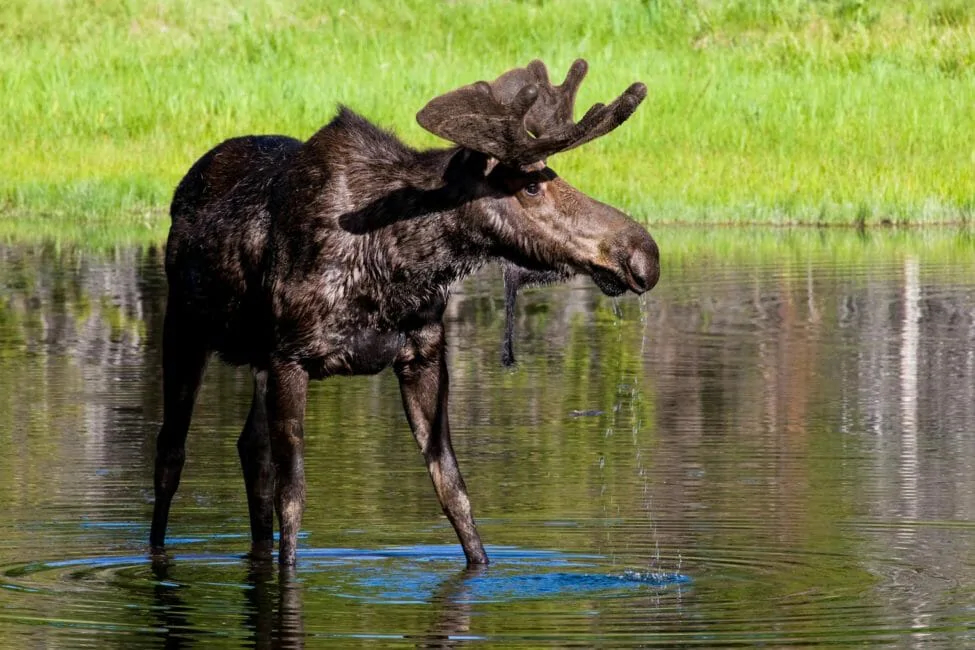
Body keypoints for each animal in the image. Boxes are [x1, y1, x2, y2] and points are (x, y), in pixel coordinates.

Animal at [152, 62, 664, 568]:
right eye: (533, 186)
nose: (644, 253)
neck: (396, 264)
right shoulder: (289, 359)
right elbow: (293, 499)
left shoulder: (423, 355)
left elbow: (454, 490)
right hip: (185, 327)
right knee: (171, 454)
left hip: (254, 356)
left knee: (250, 448)